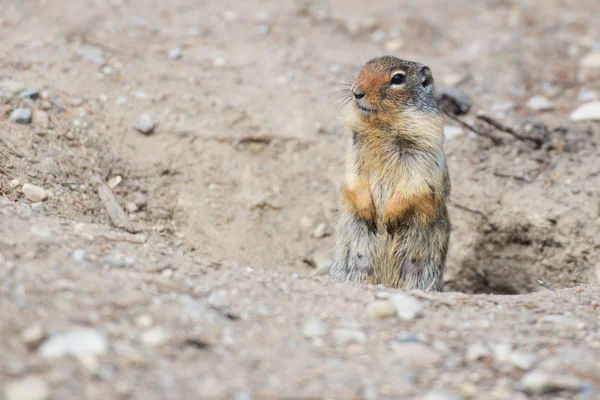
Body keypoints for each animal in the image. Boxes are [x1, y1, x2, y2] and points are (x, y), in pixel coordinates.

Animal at [330, 54, 452, 290]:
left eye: (397, 78)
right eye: (365, 67)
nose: (356, 91)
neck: (382, 126)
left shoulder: (422, 151)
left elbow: (415, 185)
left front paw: (390, 215)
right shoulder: (354, 147)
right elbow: (353, 179)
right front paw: (367, 210)